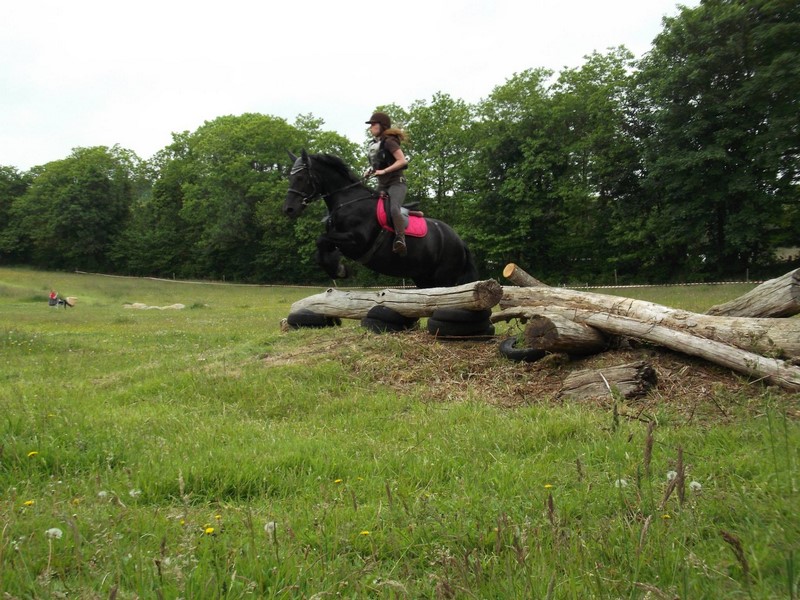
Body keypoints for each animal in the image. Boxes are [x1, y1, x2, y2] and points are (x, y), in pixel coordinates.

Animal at [283, 150, 478, 289]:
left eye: (300, 177)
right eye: (290, 177)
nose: (288, 209)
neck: (347, 201)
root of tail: (460, 241)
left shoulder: (356, 241)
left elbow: (321, 240)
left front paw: (339, 270)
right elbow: (321, 250)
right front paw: (337, 268)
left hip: (443, 278)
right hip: (423, 278)